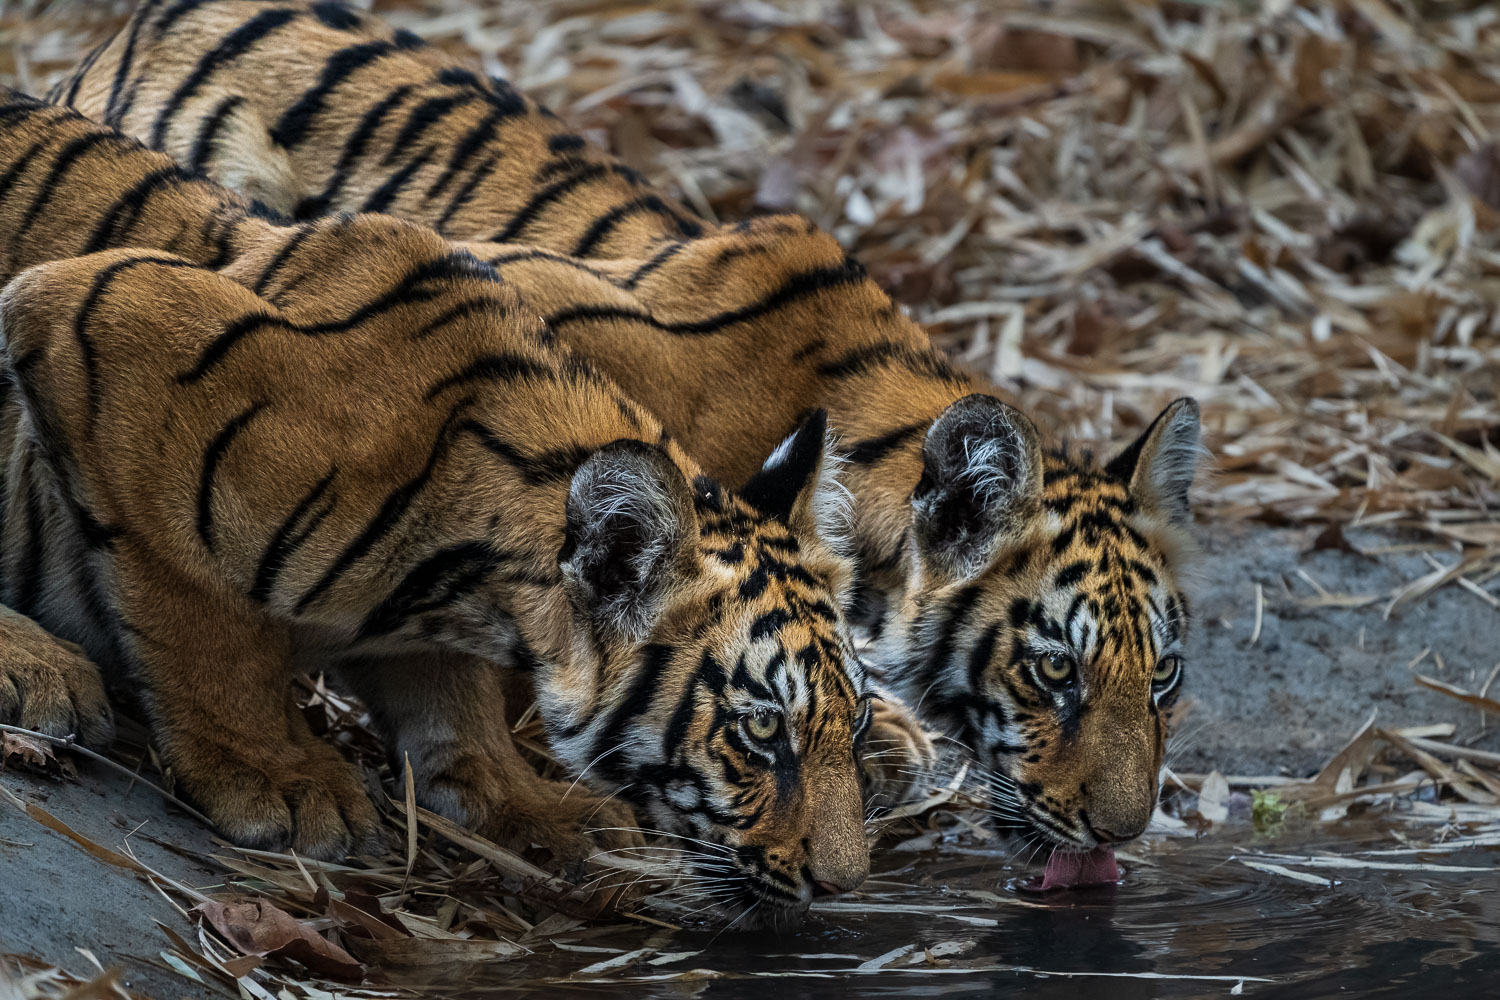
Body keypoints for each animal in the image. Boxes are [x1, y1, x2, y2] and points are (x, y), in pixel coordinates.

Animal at [0, 91, 877, 919]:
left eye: (859, 722)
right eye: (761, 729)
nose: (844, 882)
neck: (463, 584)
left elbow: (452, 695)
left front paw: (524, 801)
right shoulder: (102, 319)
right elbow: (205, 625)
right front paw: (275, 773)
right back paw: (41, 669)